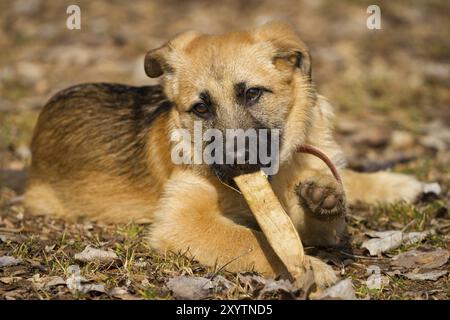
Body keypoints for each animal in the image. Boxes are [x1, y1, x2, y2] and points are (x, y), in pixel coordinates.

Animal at [26, 23, 424, 288]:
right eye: (201, 109)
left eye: (252, 93)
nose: (238, 161)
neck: (276, 176)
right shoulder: (183, 219)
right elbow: (248, 239)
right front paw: (307, 266)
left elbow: (327, 209)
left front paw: (323, 196)